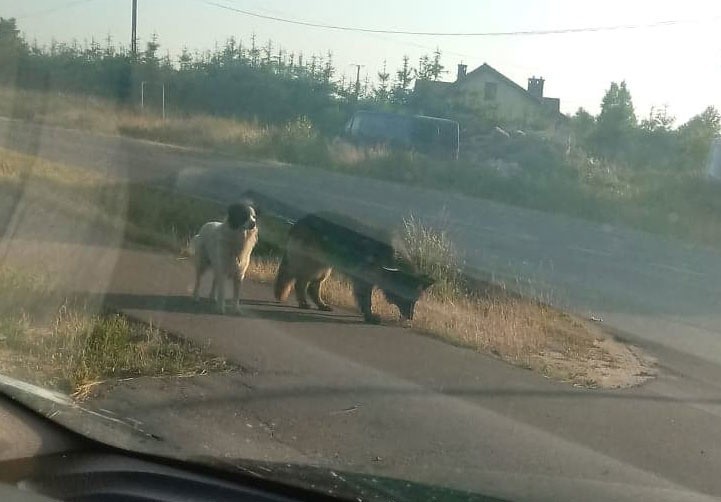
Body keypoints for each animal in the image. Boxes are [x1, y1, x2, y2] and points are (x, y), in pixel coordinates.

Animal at [274, 213, 434, 324]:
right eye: (407, 299)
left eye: (415, 301)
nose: (410, 318)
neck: (393, 262)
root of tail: (301, 220)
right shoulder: (363, 281)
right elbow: (366, 300)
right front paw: (369, 316)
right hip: (311, 265)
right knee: (300, 283)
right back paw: (303, 303)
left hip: (324, 270)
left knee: (313, 287)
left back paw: (321, 304)